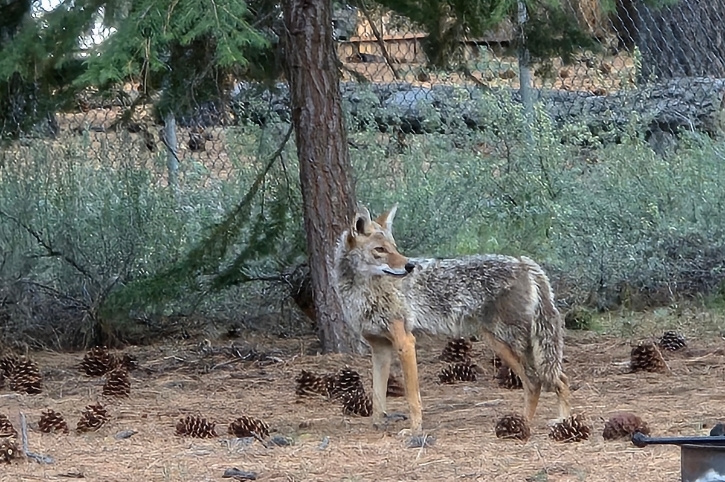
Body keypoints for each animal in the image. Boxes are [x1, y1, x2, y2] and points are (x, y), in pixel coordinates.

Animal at [334, 204, 571, 433]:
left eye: (394, 247)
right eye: (380, 250)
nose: (410, 266)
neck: (363, 293)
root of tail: (524, 262)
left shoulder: (406, 343)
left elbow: (412, 397)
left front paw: (415, 431)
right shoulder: (380, 348)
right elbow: (377, 397)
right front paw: (378, 426)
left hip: (511, 345)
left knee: (545, 381)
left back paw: (553, 423)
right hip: (505, 345)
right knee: (545, 381)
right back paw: (527, 423)